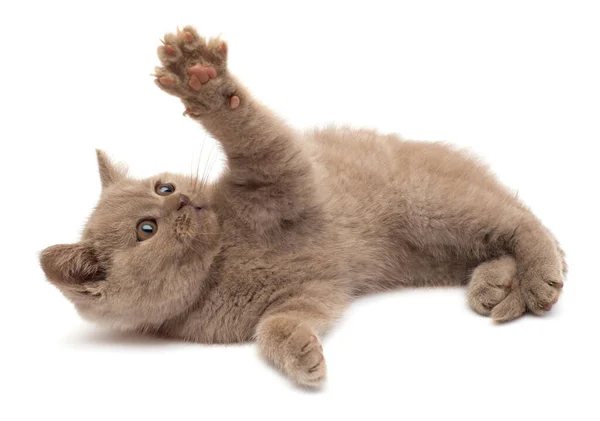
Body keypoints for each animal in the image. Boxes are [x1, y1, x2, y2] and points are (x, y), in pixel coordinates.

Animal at [39, 26, 564, 388]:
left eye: (164, 188)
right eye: (146, 228)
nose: (185, 199)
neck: (223, 259)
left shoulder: (281, 176)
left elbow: (252, 131)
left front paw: (200, 79)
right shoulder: (308, 293)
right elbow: (275, 326)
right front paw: (300, 353)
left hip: (430, 206)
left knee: (522, 221)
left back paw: (538, 276)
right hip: (433, 251)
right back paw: (494, 284)